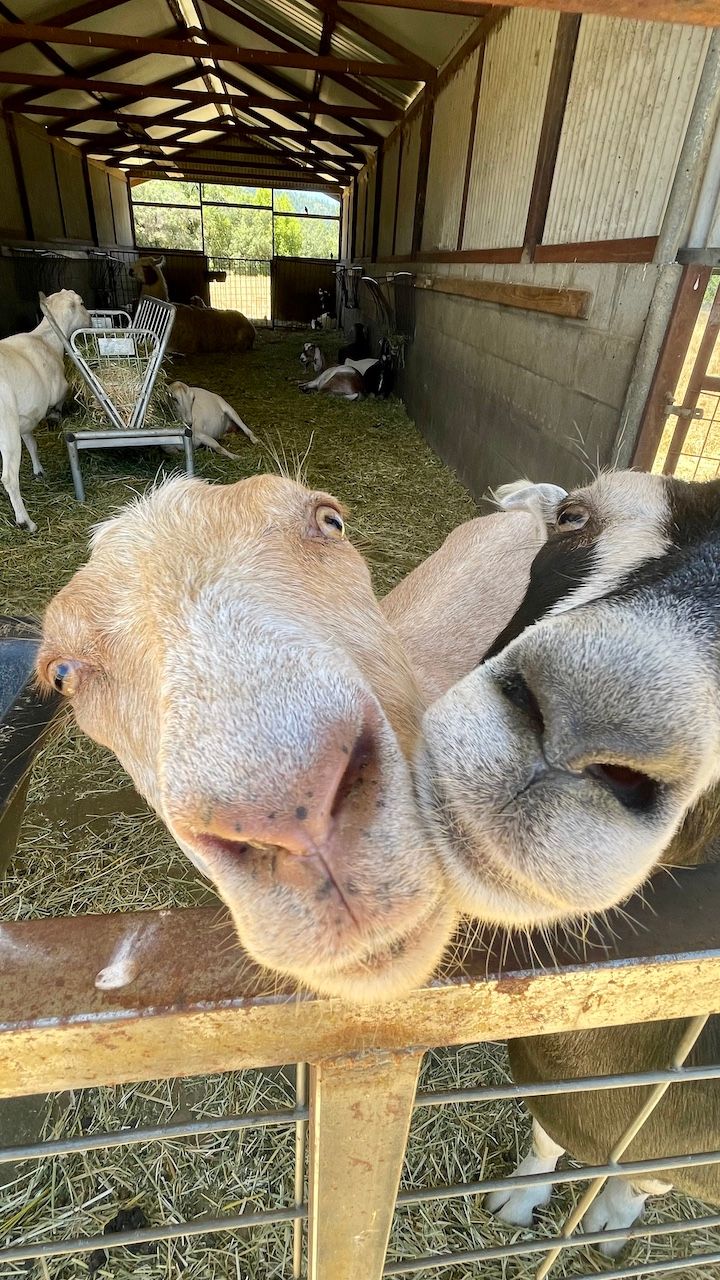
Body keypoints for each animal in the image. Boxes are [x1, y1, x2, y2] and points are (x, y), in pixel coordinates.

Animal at [0, 289, 90, 533]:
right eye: (82, 303)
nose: (90, 319)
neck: (46, 338)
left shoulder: (26, 416)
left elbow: (32, 443)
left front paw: (39, 470)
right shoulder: (59, 389)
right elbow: (61, 398)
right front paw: (54, 416)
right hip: (6, 429)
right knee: (9, 477)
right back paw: (25, 522)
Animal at [415, 470, 720, 1247]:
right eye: (575, 518)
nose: (585, 718)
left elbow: (647, 1176)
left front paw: (612, 1218)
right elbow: (551, 1133)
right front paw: (520, 1198)